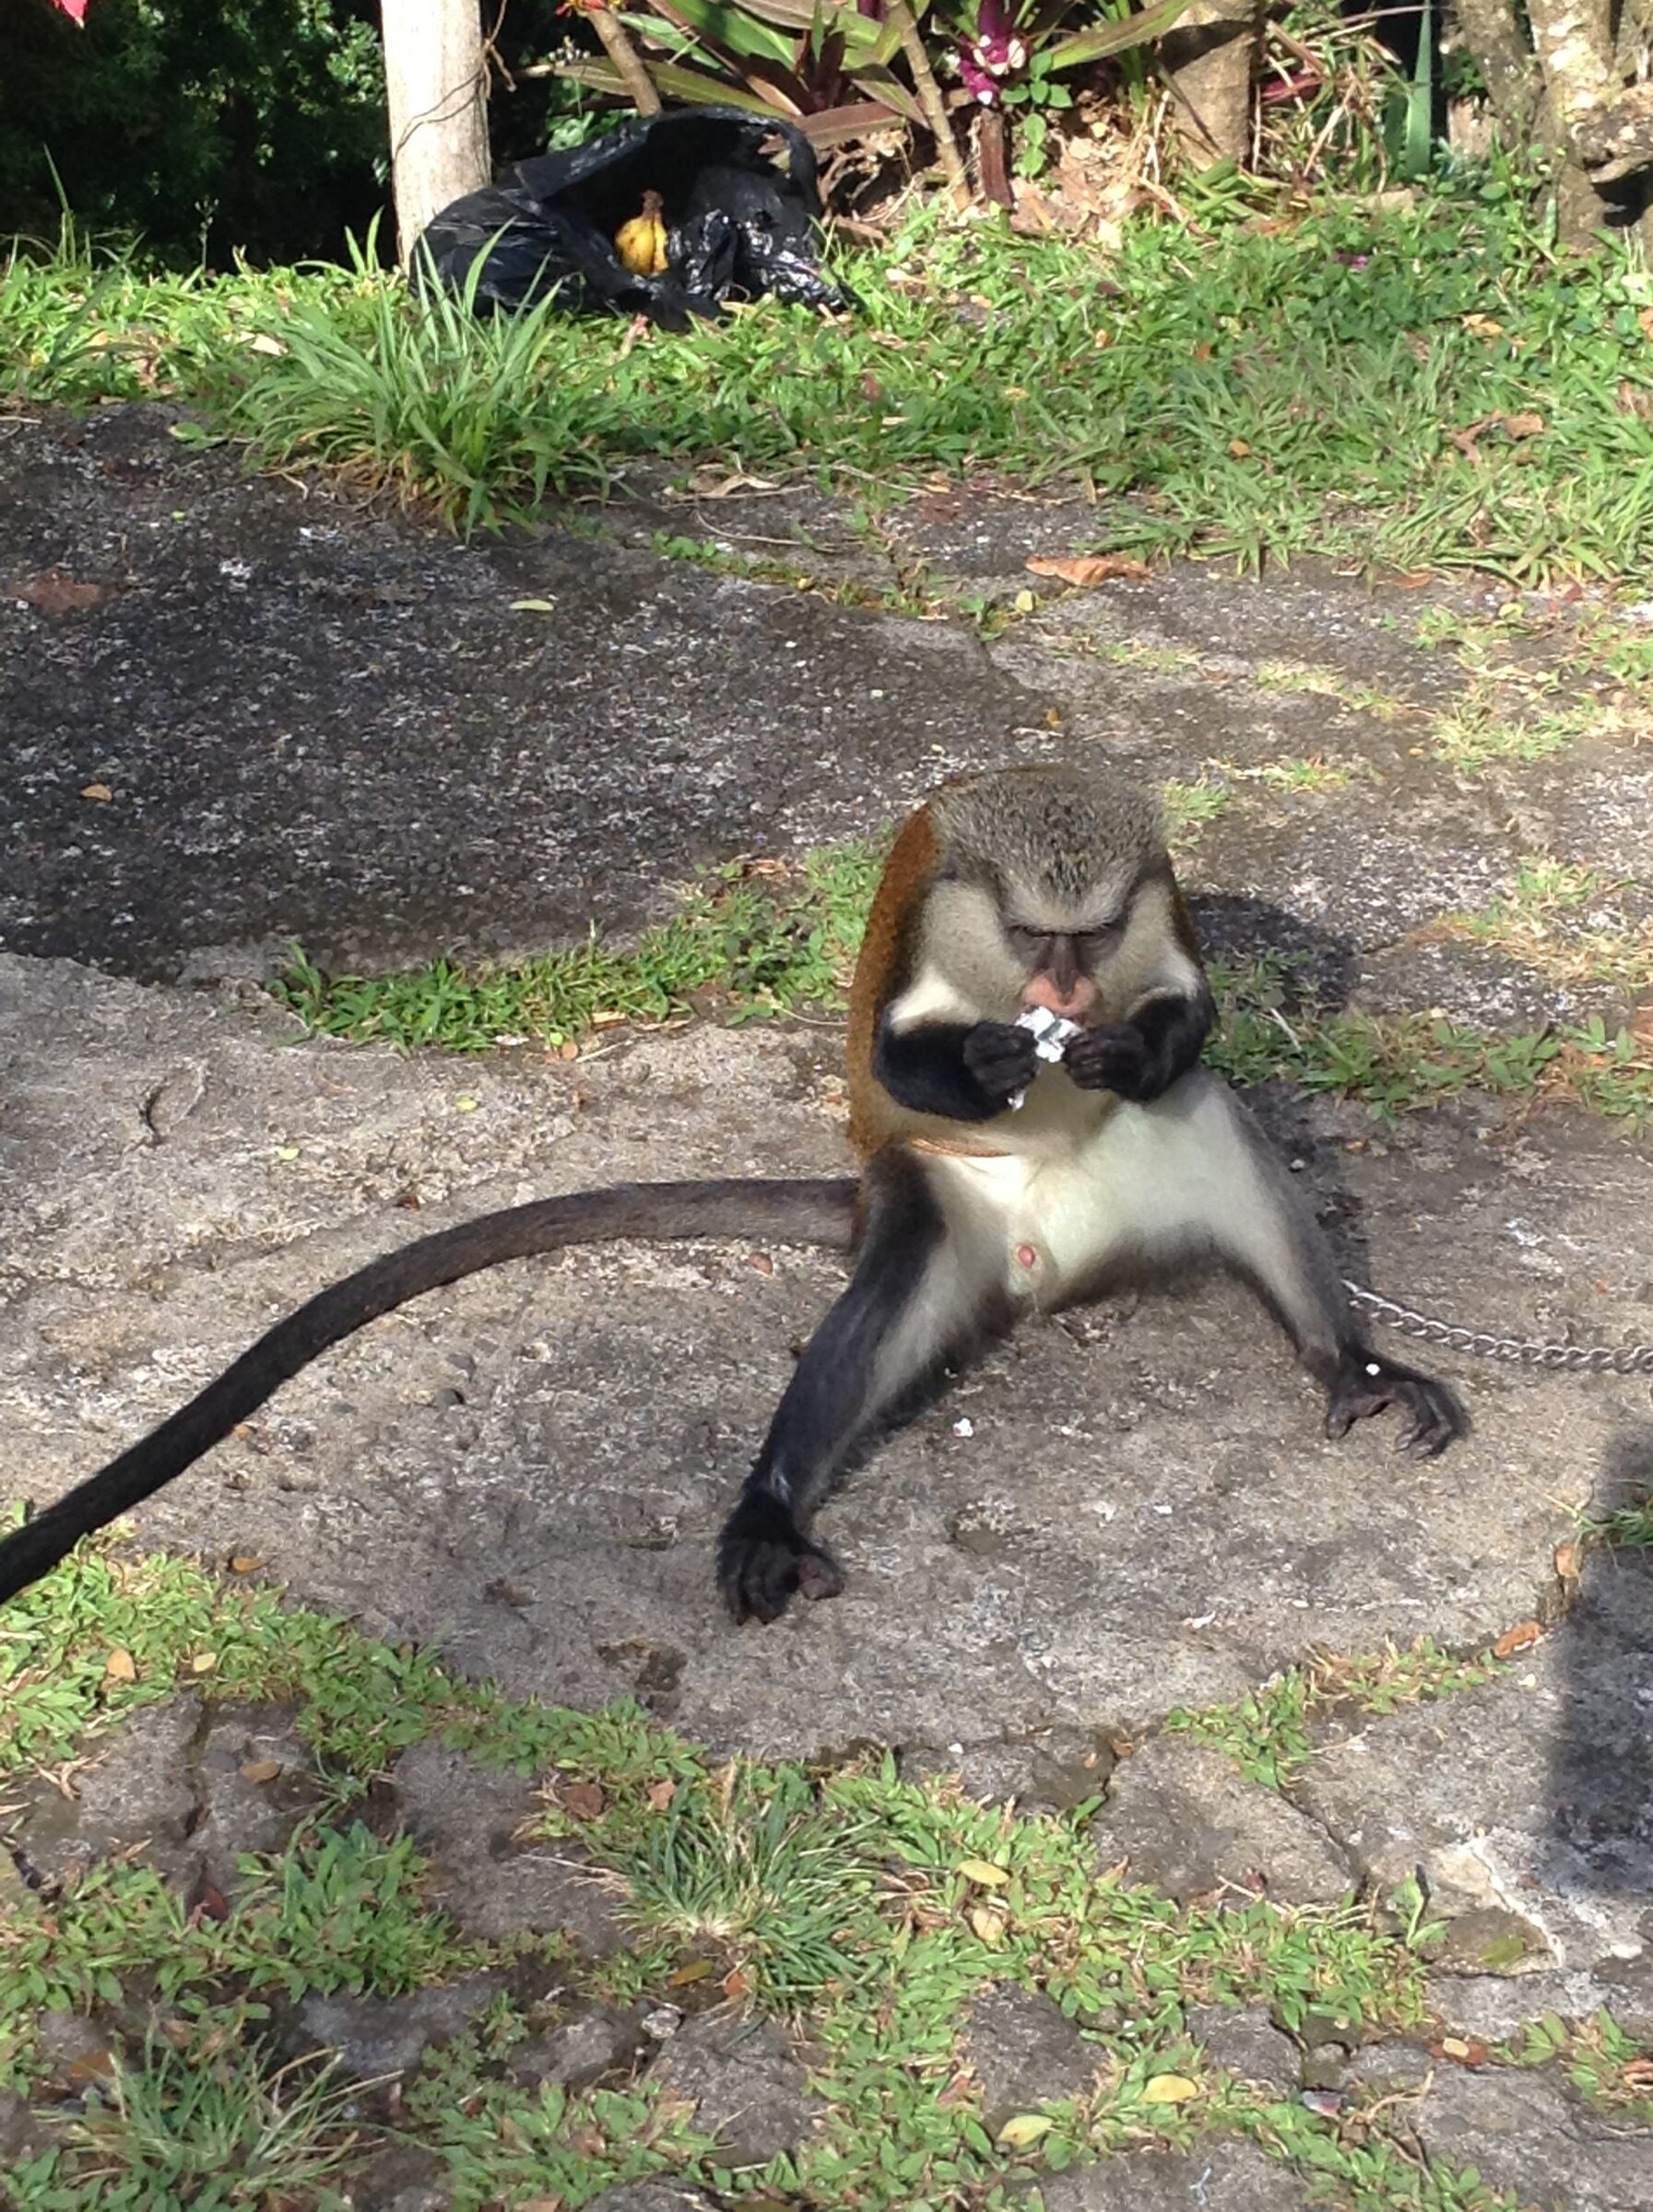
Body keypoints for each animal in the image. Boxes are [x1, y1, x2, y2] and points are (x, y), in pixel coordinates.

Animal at [0, 765, 1463, 1621]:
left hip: (1157, 1160)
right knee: (876, 1306)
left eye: (1091, 932)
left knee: (1209, 1112)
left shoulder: (1161, 913)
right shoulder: (924, 939)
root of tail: (1064, 1248)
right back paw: (767, 1506)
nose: (1060, 991)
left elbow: (1192, 1027)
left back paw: (1352, 1364)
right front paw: (985, 1060)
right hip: (929, 1205)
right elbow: (891, 1054)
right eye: (1030, 936)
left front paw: (1124, 1048)